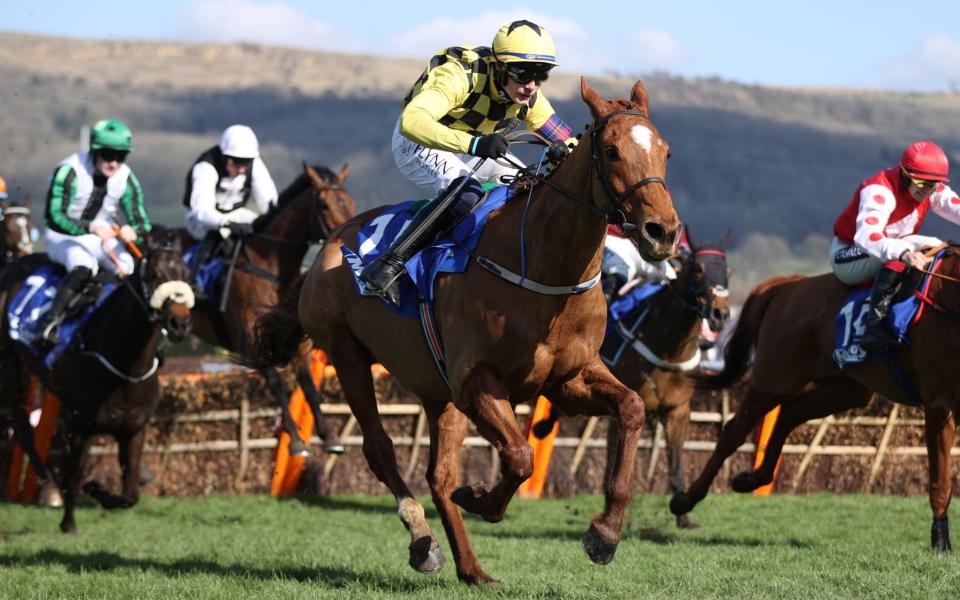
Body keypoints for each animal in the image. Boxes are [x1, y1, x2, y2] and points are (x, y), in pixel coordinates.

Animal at [0, 227, 195, 532]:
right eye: (154, 274)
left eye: (186, 273)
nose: (180, 323)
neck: (126, 368)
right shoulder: (79, 425)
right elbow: (74, 474)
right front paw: (69, 522)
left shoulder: (134, 429)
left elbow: (130, 495)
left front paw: (100, 490)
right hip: (12, 366)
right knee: (21, 424)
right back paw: (47, 484)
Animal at [183, 162, 356, 458]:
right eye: (324, 205)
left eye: (351, 202)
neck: (271, 269)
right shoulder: (249, 339)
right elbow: (276, 384)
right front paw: (296, 441)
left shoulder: (293, 340)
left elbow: (309, 387)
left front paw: (329, 436)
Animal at [248, 77, 684, 584]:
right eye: (612, 151)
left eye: (666, 151)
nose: (662, 232)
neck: (540, 267)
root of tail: (327, 248)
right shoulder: (477, 383)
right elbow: (519, 456)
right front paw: (480, 499)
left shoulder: (566, 379)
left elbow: (631, 409)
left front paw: (605, 534)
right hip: (347, 354)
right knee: (380, 450)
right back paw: (423, 540)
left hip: (436, 390)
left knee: (438, 476)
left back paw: (471, 567)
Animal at [532, 227, 728, 528]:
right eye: (698, 269)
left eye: (727, 270)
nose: (720, 314)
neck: (669, 346)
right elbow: (614, 458)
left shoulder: (678, 411)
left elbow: (676, 465)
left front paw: (683, 516)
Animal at [672, 246, 960, 552]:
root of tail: (790, 284)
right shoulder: (939, 403)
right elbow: (940, 480)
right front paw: (941, 542)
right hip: (774, 378)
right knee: (733, 433)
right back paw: (684, 501)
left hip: (844, 389)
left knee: (789, 414)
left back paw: (753, 479)